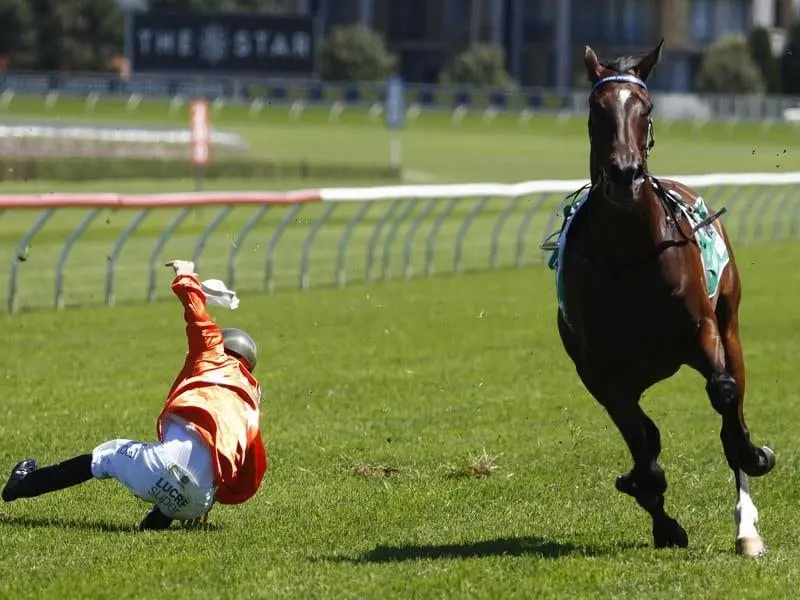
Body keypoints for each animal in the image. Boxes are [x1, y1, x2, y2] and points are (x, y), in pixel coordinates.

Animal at [552, 39, 772, 556]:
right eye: (596, 109)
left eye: (646, 108)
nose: (625, 175)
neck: (629, 254)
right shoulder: (600, 373)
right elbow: (644, 444)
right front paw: (658, 513)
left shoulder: (701, 332)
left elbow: (725, 397)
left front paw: (754, 455)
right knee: (647, 437)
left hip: (730, 326)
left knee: (732, 401)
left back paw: (747, 528)